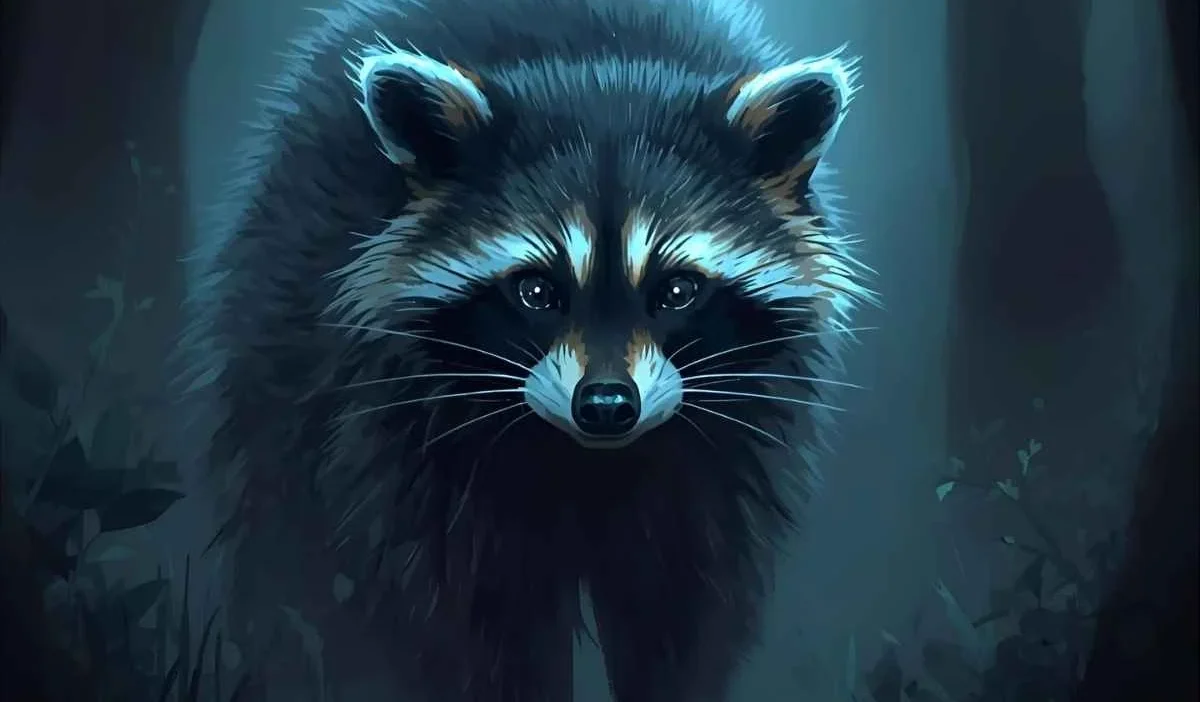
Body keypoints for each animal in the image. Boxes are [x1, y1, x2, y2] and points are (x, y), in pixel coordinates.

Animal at [182, 0, 871, 700]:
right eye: (537, 292)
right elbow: (470, 623)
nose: (606, 406)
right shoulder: (405, 446)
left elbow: (683, 609)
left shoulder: (722, 458)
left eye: (677, 291)